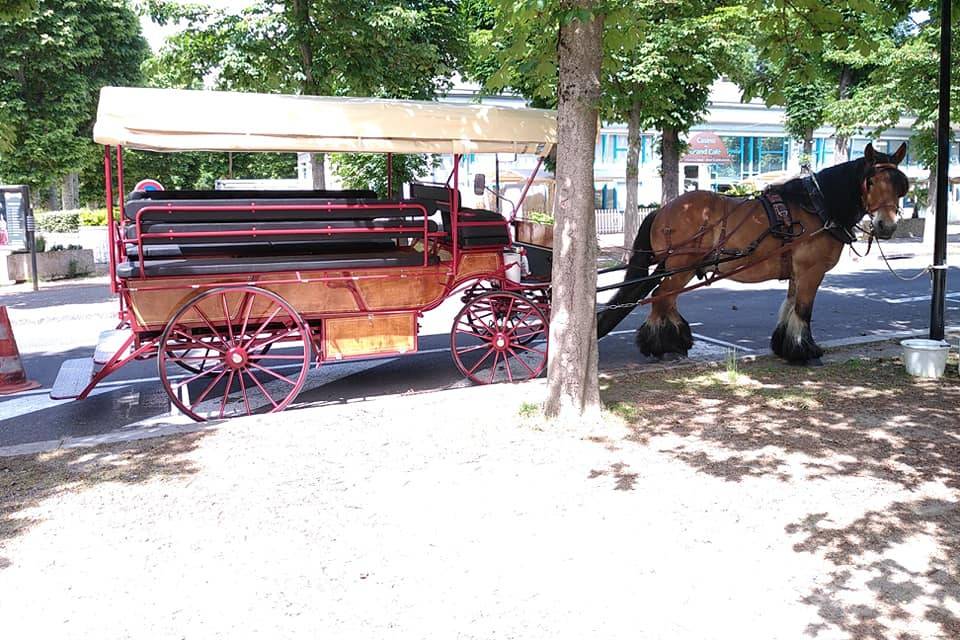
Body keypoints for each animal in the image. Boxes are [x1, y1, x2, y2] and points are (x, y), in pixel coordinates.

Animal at [600, 144, 908, 364]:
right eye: (870, 182)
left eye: (900, 186)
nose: (887, 225)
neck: (817, 207)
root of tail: (663, 209)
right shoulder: (811, 270)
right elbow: (804, 310)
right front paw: (805, 352)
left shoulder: (797, 272)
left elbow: (790, 306)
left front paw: (785, 346)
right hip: (682, 265)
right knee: (661, 297)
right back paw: (664, 346)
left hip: (676, 267)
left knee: (666, 299)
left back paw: (675, 341)